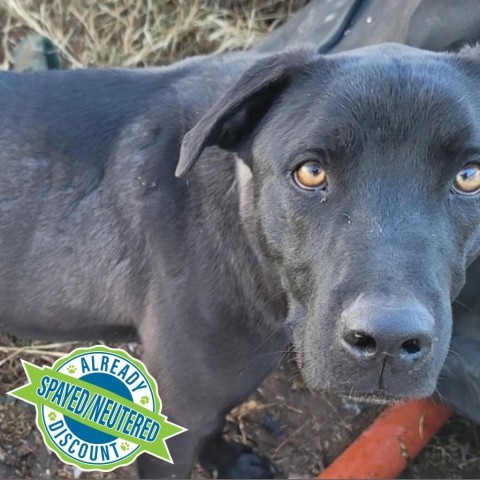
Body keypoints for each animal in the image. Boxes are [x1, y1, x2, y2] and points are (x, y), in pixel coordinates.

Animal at [2, 44, 480, 476]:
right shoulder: (174, 413)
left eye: (469, 177)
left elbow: (215, 426)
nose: (388, 341)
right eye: (311, 172)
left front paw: (228, 462)